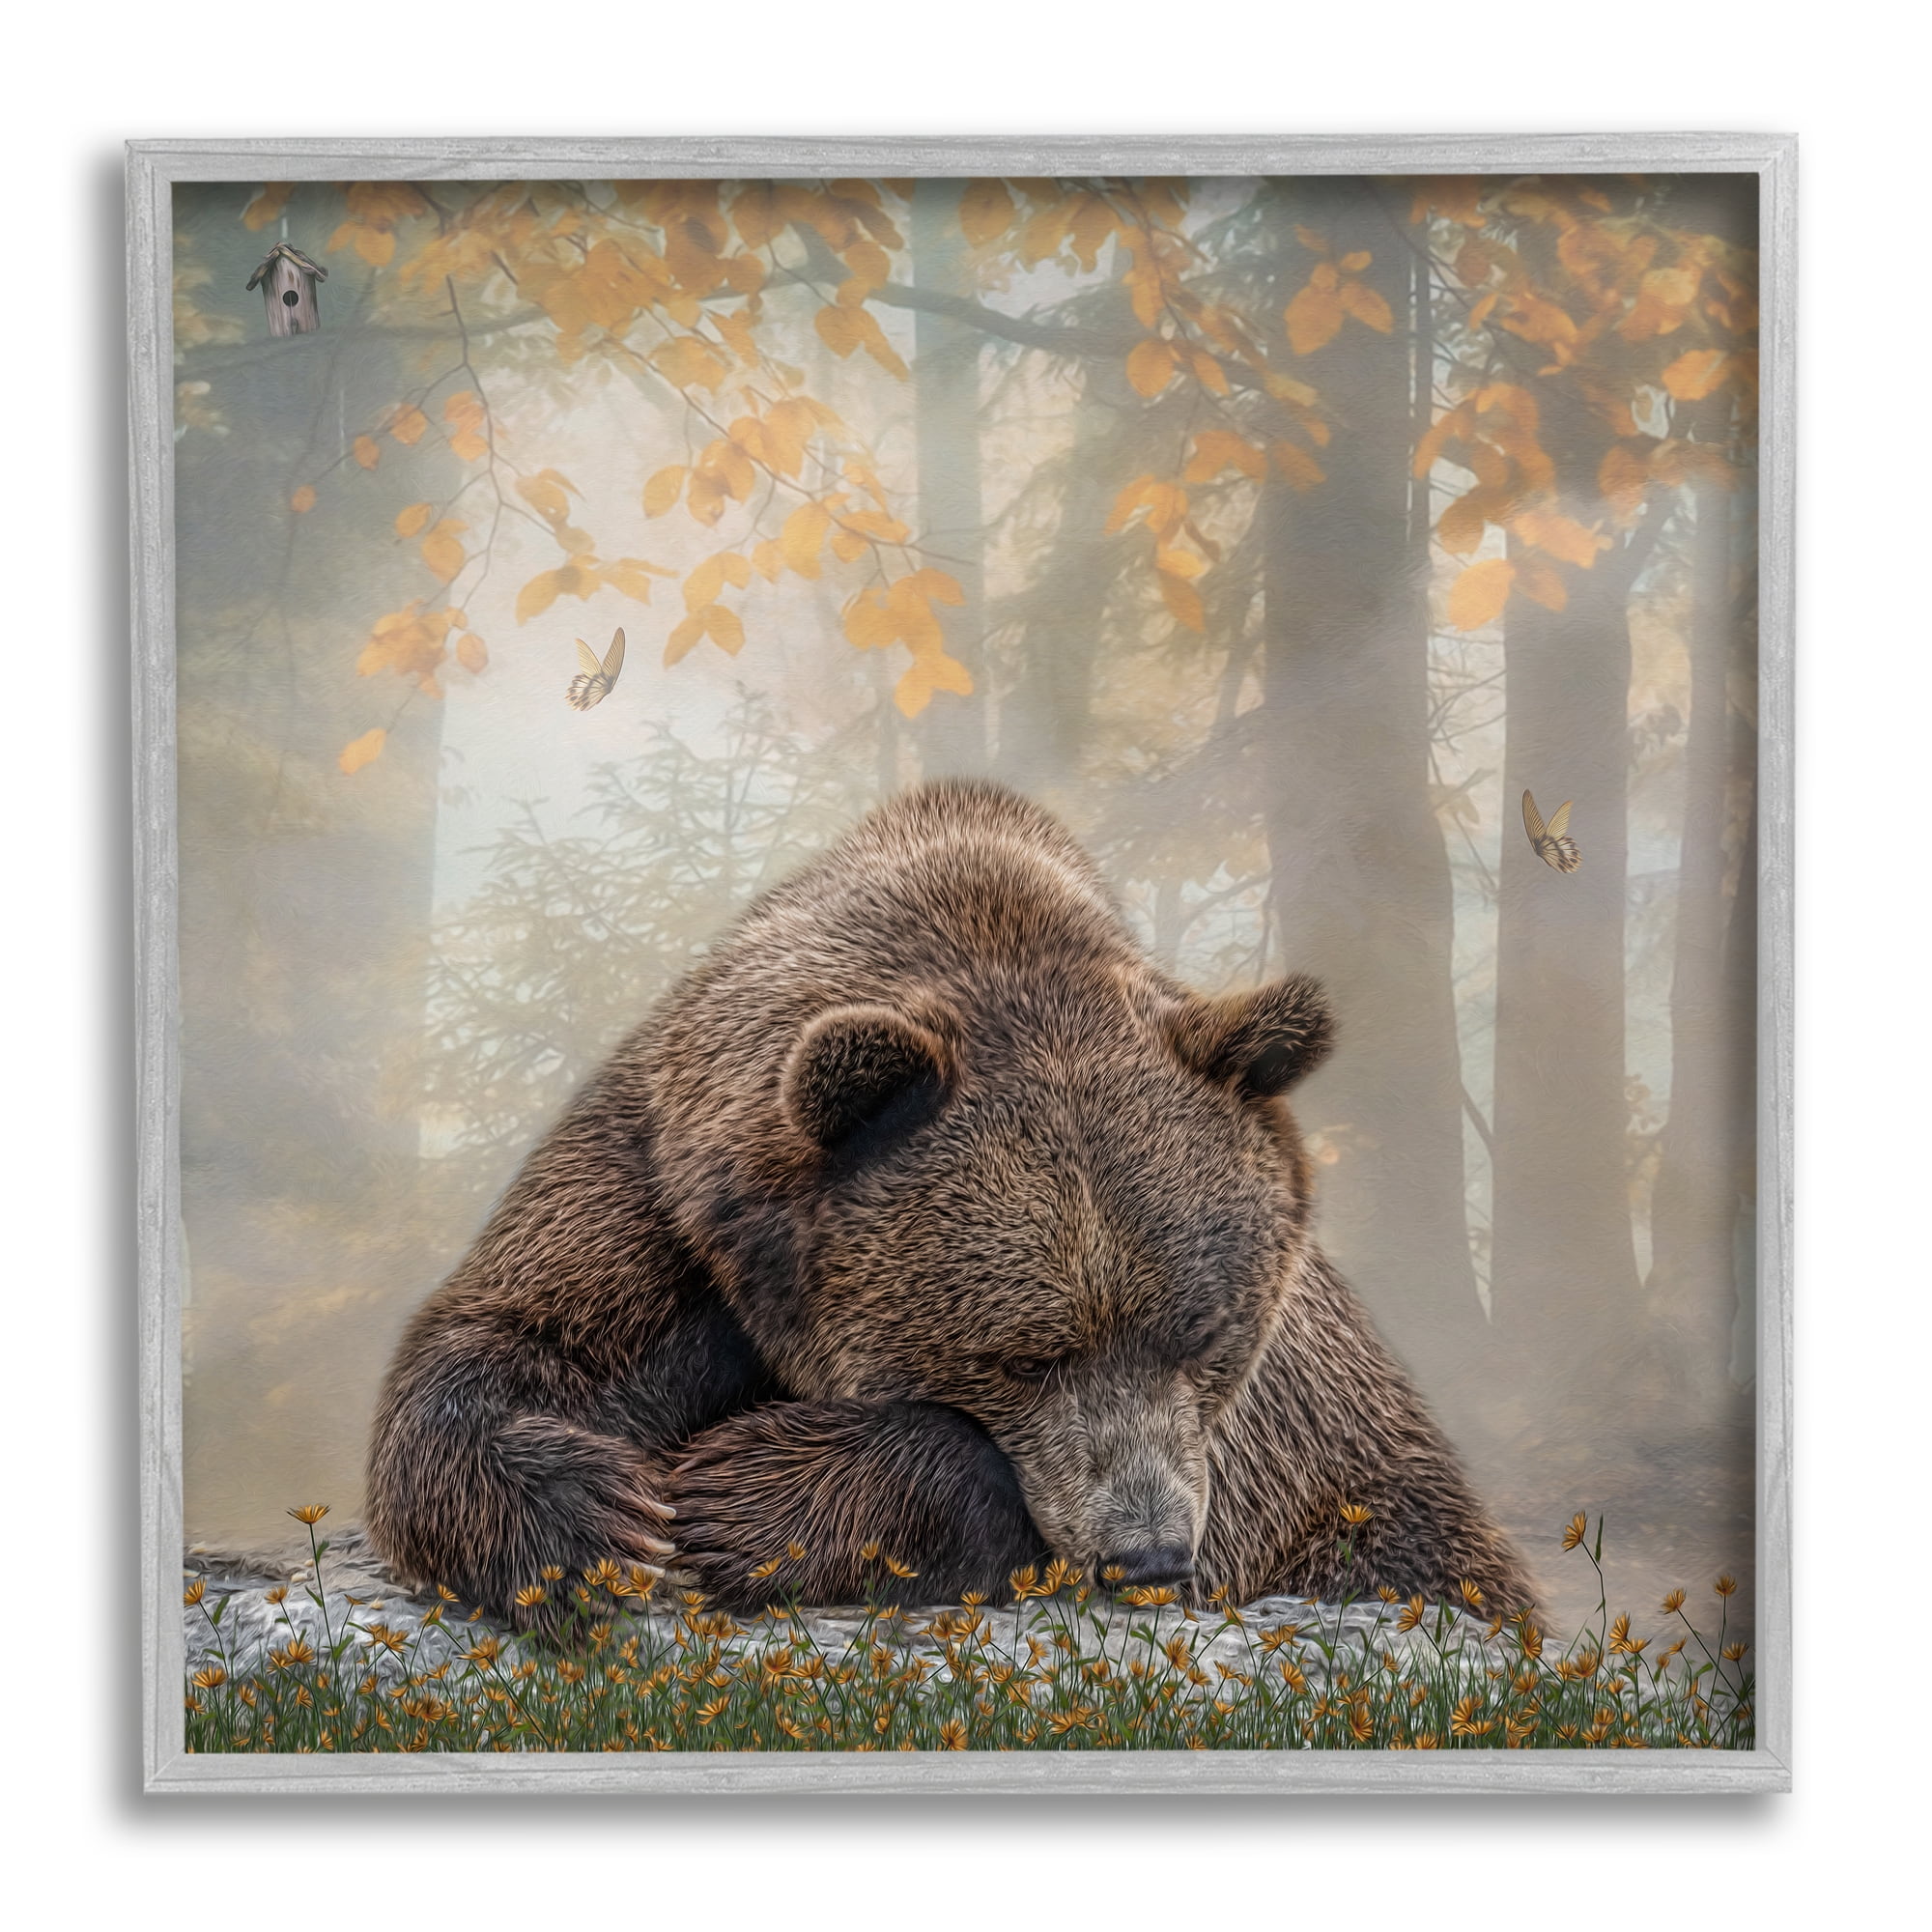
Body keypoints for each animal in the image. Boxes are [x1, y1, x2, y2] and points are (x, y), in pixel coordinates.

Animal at [366, 780, 1534, 1622]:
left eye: (1205, 1333)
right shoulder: (670, 1189)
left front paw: (731, 1500)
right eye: (1019, 1354)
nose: (1147, 1552)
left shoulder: (1262, 1442)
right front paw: (592, 1520)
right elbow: (514, 1339)